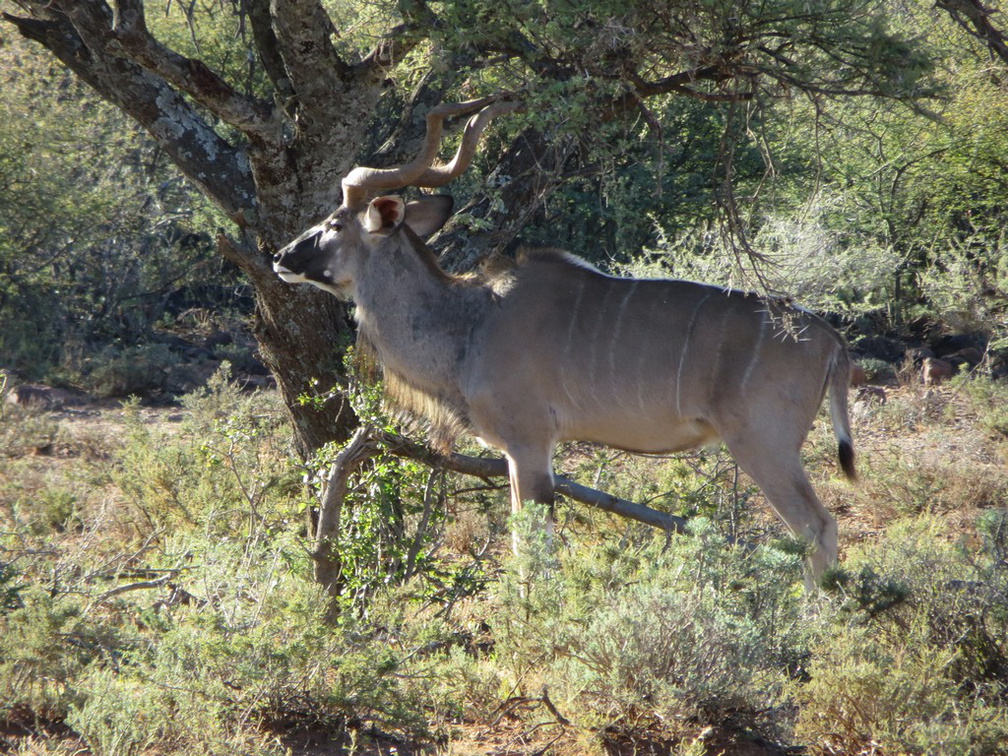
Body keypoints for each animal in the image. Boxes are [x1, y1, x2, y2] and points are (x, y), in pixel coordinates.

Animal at [276, 96, 858, 580]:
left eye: (334, 224)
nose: (282, 258)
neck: (469, 322)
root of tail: (830, 338)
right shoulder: (526, 451)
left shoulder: (529, 443)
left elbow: (534, 550)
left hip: (764, 445)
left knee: (817, 528)